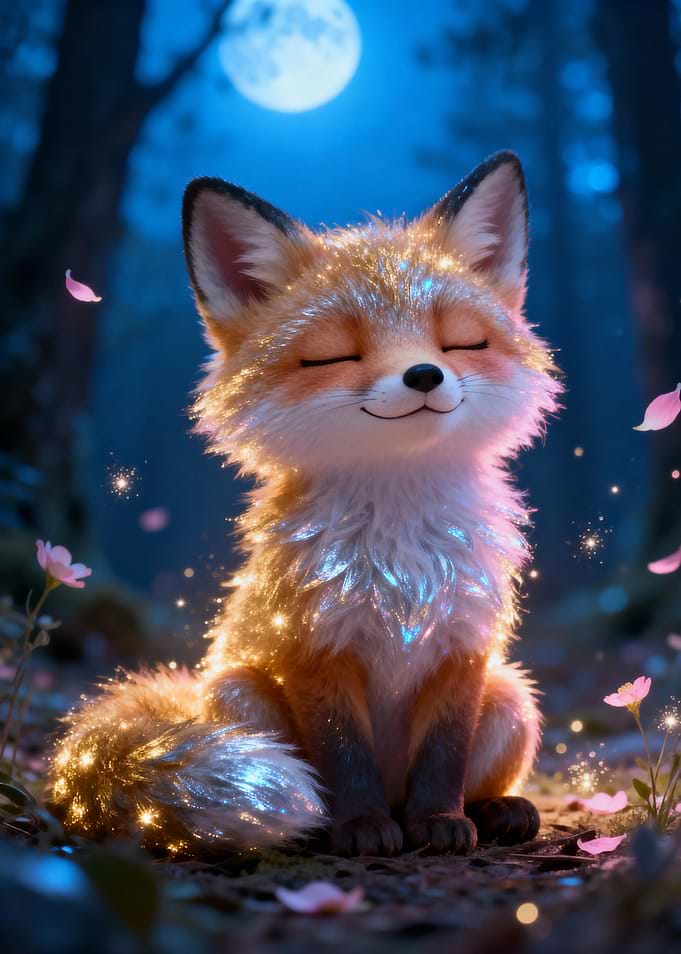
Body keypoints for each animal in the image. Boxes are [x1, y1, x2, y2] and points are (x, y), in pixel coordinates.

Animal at [49, 151, 560, 857]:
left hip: (513, 700)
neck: (400, 559)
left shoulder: (463, 644)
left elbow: (444, 754)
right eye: (332, 355)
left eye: (461, 343)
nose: (425, 375)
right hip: (239, 695)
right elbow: (343, 754)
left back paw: (493, 810)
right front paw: (360, 826)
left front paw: (439, 821)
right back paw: (317, 829)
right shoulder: (313, 644)